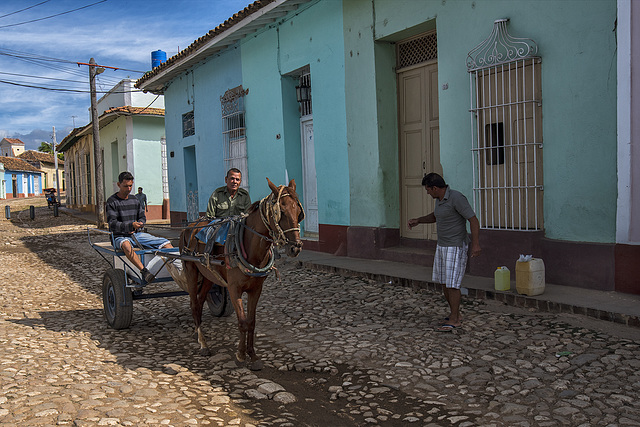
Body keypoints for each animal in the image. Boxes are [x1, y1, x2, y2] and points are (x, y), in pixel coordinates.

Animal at [176, 177, 304, 372]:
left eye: (298, 211)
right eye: (280, 211)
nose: (295, 248)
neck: (249, 246)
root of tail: (190, 225)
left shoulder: (256, 289)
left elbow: (251, 322)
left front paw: (253, 356)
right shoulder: (234, 288)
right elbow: (242, 322)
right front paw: (240, 356)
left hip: (208, 276)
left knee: (201, 299)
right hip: (190, 269)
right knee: (194, 305)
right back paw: (203, 344)